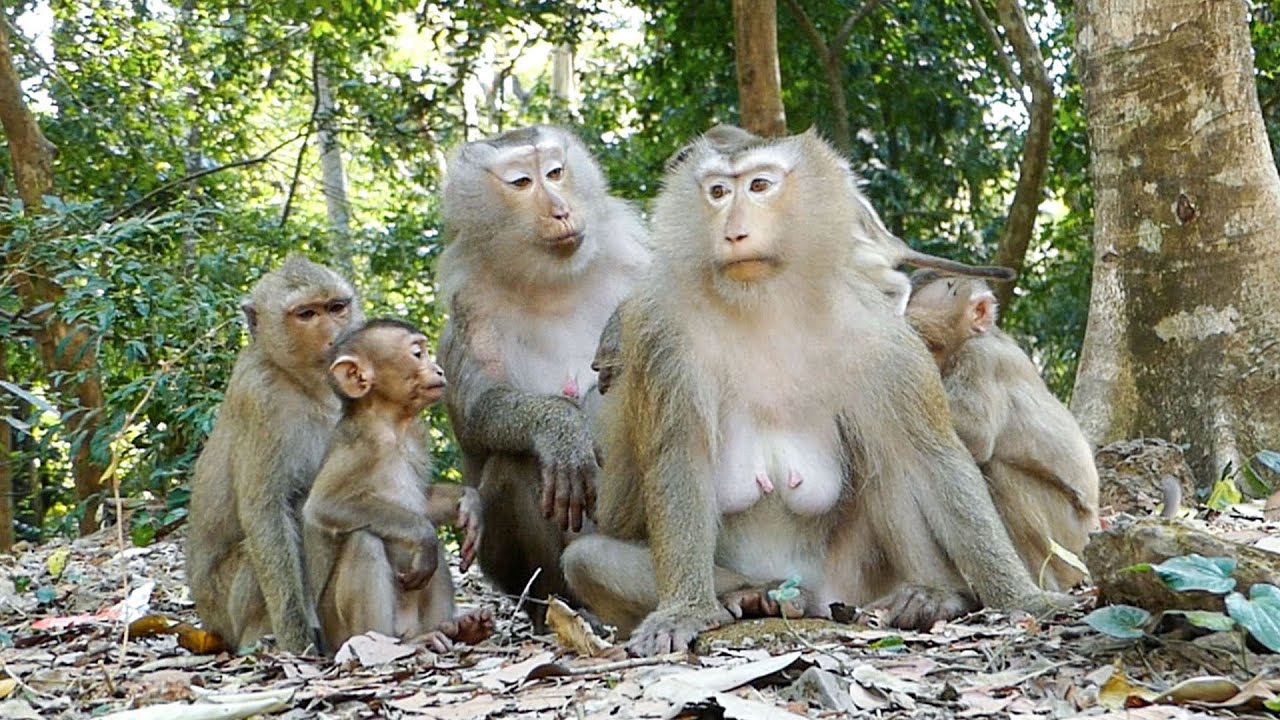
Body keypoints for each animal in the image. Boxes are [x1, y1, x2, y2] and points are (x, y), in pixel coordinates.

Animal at [186, 254, 362, 653]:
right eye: (307, 314)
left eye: (336, 307)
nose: (336, 335)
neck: (301, 382)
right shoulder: (261, 399)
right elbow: (266, 513)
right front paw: (297, 640)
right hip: (225, 603)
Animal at [302, 319, 493, 653]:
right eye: (417, 354)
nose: (439, 369)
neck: (391, 423)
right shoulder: (362, 446)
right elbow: (324, 506)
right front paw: (423, 534)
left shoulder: (416, 439)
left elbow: (424, 502)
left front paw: (470, 505)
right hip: (340, 632)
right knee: (365, 541)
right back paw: (392, 644)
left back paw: (458, 629)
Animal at [435, 125, 651, 630]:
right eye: (521, 182)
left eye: (555, 172)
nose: (560, 209)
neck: (553, 281)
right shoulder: (472, 300)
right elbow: (482, 407)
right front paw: (560, 428)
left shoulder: (629, 251)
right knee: (515, 463)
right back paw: (560, 607)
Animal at [561, 129, 1067, 656]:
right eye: (718, 192)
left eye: (759, 186)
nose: (733, 231)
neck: (765, 306)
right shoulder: (668, 337)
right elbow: (680, 456)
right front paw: (686, 610)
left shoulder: (879, 336)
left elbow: (934, 459)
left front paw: (1022, 597)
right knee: (586, 558)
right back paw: (753, 593)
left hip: (854, 580)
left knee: (892, 463)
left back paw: (934, 595)